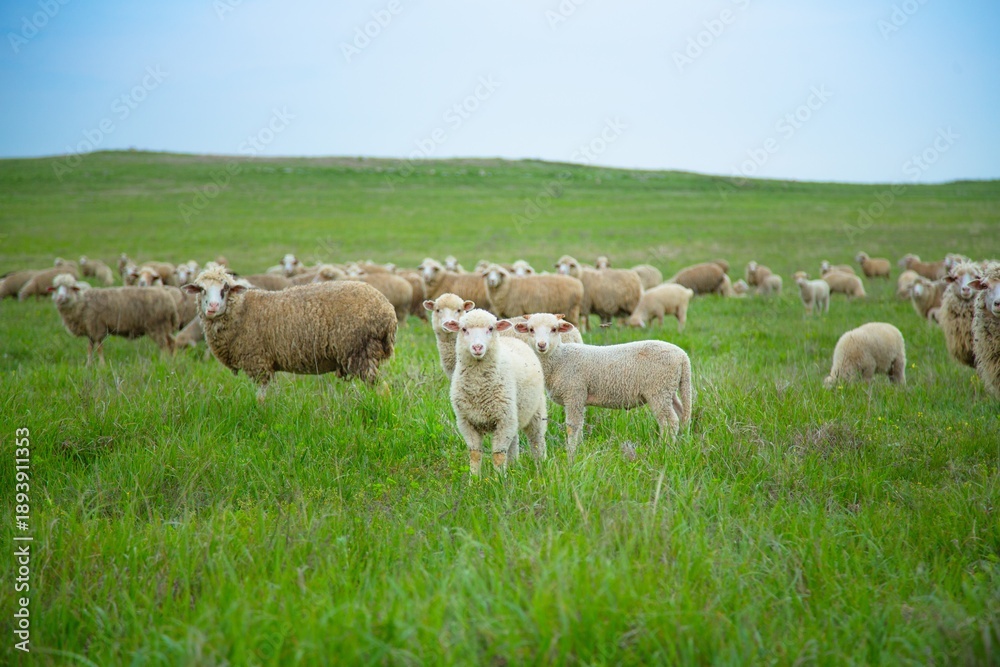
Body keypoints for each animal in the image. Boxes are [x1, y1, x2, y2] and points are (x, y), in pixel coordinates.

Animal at [49, 274, 178, 365]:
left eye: (70, 288)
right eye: (56, 288)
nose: (60, 298)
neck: (81, 302)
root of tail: (170, 299)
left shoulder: (97, 327)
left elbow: (99, 348)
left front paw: (102, 365)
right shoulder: (90, 330)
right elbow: (89, 348)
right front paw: (89, 365)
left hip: (157, 326)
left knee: (164, 345)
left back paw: (163, 362)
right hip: (164, 327)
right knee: (171, 342)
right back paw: (171, 360)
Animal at [184, 266, 397, 400]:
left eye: (226, 288)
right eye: (201, 289)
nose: (212, 307)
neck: (242, 310)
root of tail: (388, 311)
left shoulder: (258, 361)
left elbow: (260, 398)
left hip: (360, 352)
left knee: (382, 389)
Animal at [443, 309, 547, 475]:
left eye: (491, 328)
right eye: (464, 329)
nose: (477, 347)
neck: (478, 388)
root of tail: (513, 339)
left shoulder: (503, 420)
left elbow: (498, 455)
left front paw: (498, 479)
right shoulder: (466, 421)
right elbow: (475, 453)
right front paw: (474, 479)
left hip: (535, 411)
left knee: (537, 442)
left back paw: (540, 468)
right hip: (513, 415)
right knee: (514, 441)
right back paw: (513, 467)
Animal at [514, 313, 692, 460]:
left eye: (554, 329)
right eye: (531, 329)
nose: (541, 345)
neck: (559, 359)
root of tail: (683, 356)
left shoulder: (574, 393)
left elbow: (572, 427)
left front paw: (570, 454)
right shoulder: (579, 397)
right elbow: (580, 425)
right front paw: (579, 449)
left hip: (658, 389)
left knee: (670, 421)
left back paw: (665, 448)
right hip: (669, 389)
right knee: (682, 414)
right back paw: (681, 441)